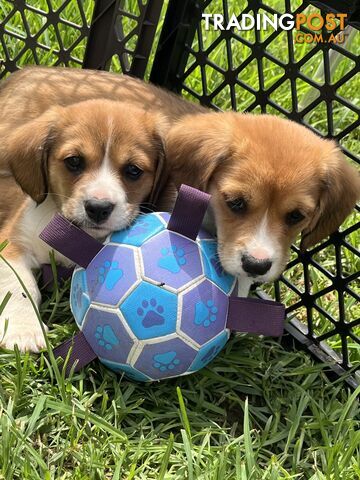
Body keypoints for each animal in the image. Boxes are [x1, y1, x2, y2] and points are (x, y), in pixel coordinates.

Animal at [0, 98, 166, 352]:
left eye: (133, 170)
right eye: (74, 161)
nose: (98, 208)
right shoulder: (12, 244)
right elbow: (19, 286)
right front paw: (24, 330)